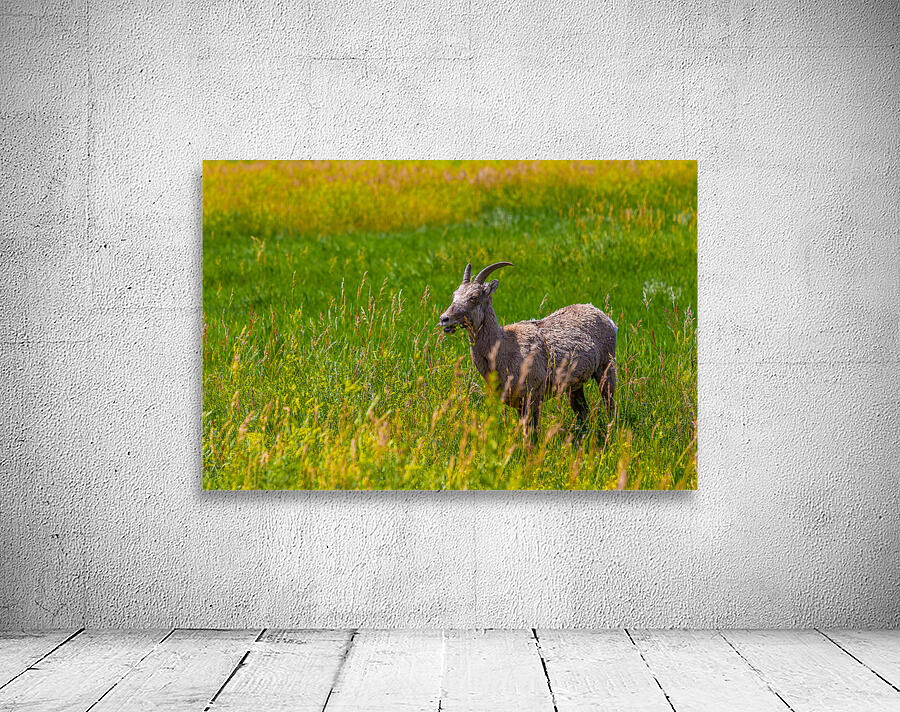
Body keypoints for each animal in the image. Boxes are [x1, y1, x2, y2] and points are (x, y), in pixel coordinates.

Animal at [439, 261, 617, 438]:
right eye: (454, 295)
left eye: (474, 297)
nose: (444, 319)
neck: (504, 349)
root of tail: (604, 316)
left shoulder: (532, 397)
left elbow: (532, 434)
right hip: (574, 385)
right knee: (582, 411)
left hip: (606, 368)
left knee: (610, 403)